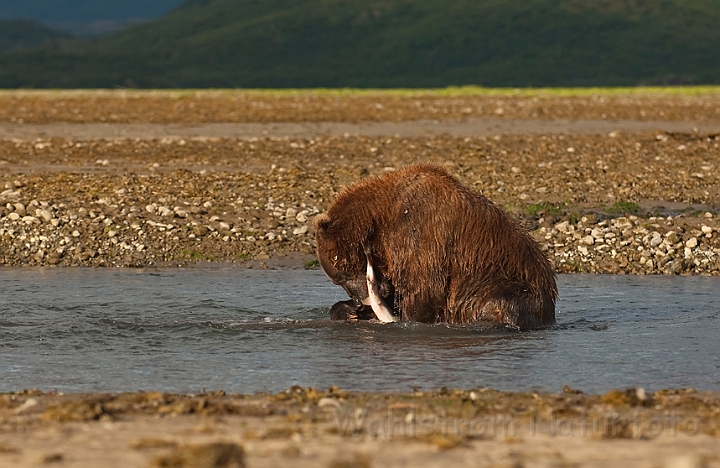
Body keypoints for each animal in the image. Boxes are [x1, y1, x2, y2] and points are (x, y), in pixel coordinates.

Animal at [314, 165, 556, 330]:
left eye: (342, 275)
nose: (359, 300)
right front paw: (349, 311)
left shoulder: (420, 232)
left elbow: (425, 290)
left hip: (509, 282)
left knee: (501, 303)